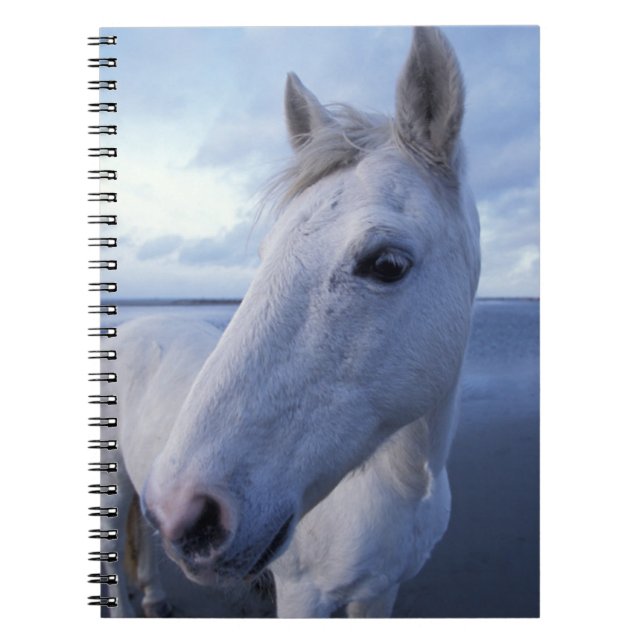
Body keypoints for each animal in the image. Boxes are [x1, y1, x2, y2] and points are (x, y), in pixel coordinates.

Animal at [106, 26, 481, 618]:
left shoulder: (381, 594)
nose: (189, 512)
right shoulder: (303, 597)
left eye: (387, 264)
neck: (399, 486)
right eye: (265, 253)